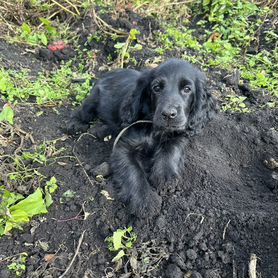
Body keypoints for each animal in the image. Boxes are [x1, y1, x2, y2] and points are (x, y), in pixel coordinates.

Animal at [67, 59, 215, 218]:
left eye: (187, 89)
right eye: (156, 88)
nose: (169, 114)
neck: (155, 128)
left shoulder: (181, 132)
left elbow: (172, 149)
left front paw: (165, 176)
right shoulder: (123, 148)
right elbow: (134, 172)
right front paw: (145, 201)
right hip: (94, 98)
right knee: (83, 111)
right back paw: (75, 124)